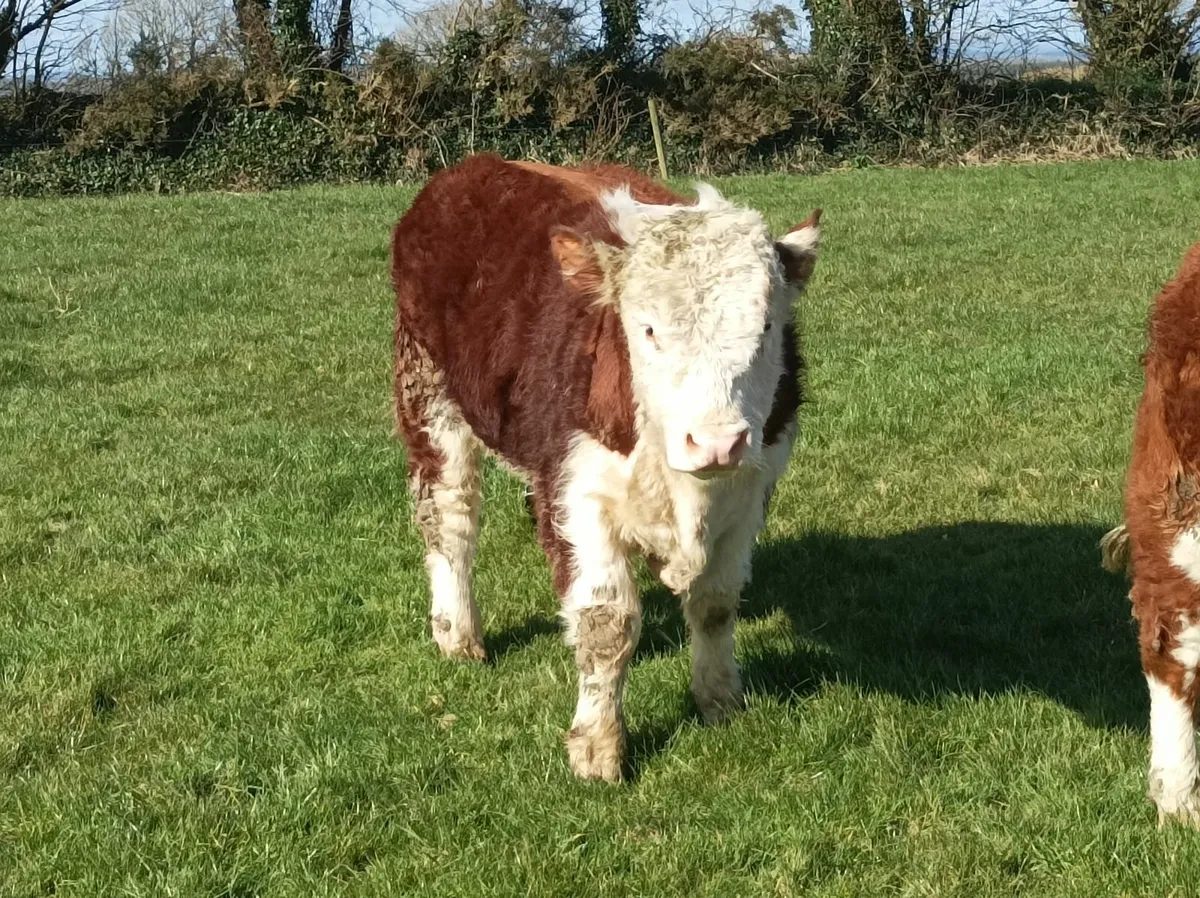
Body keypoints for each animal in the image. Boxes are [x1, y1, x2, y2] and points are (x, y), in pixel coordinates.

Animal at [391, 153, 821, 782]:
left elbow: (716, 603)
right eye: (647, 328)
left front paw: (720, 700)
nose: (715, 442)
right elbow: (606, 623)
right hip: (429, 396)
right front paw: (598, 748)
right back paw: (457, 633)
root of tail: (470, 169)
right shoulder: (577, 495)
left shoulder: (752, 490)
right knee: (450, 519)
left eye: (766, 326)